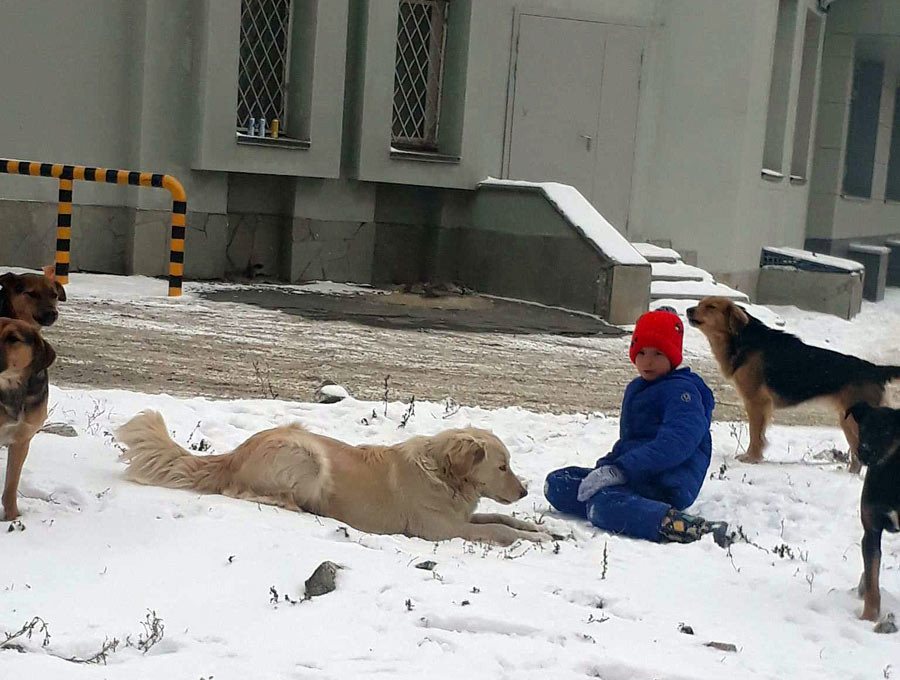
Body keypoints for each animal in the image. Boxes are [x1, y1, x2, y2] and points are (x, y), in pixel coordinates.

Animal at [116, 410, 552, 548]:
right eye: (502, 466)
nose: (524, 490)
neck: (444, 474)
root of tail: (235, 453)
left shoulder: (461, 518)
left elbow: (502, 518)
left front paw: (544, 530)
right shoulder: (443, 530)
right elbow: (497, 529)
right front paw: (535, 539)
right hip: (307, 455)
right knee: (247, 493)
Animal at [684, 298, 900, 472]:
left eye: (711, 307)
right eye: (700, 303)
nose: (687, 309)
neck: (741, 339)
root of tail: (875, 369)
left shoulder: (756, 402)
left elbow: (755, 434)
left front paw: (751, 458)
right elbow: (760, 435)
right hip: (847, 420)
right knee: (856, 457)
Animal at [844, 404, 900, 620]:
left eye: (885, 430)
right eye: (863, 427)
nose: (863, 451)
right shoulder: (871, 531)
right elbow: (871, 581)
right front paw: (868, 617)